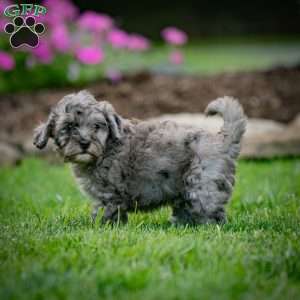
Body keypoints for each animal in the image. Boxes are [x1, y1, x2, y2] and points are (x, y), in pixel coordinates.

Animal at [33, 91, 246, 225]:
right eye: (69, 127)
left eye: (97, 126)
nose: (85, 143)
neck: (106, 148)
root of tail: (223, 140)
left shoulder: (111, 195)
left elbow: (110, 214)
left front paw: (105, 228)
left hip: (202, 186)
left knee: (212, 215)